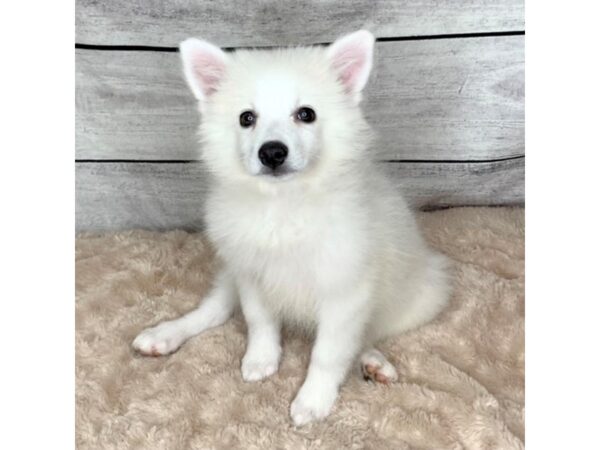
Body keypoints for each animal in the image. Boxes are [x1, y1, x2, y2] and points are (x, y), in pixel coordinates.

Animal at [131, 29, 450, 426]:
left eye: (306, 115)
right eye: (246, 118)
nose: (272, 152)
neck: (283, 204)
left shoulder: (345, 291)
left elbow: (328, 352)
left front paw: (313, 400)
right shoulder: (252, 274)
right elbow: (259, 322)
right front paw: (261, 360)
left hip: (422, 296)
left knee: (366, 335)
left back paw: (374, 362)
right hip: (231, 268)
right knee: (214, 309)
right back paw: (164, 335)